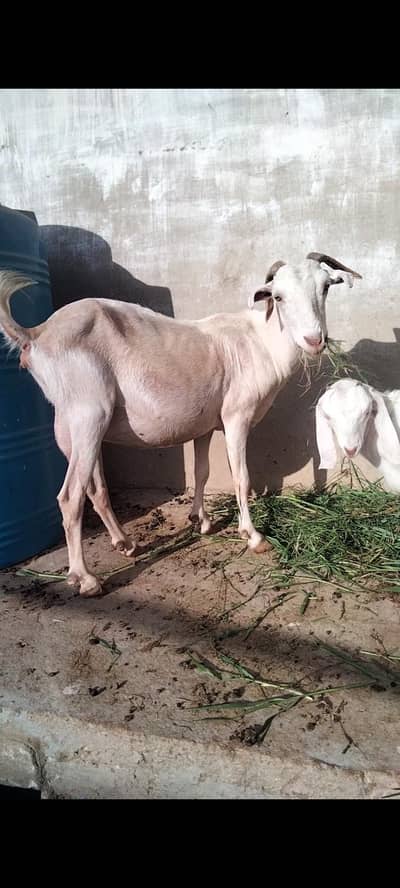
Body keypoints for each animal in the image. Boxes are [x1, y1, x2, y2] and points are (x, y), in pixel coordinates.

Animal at [0, 252, 361, 596]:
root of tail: (36, 334)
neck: (262, 343)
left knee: (95, 487)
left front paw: (200, 521)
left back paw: (125, 543)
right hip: (88, 412)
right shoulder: (237, 416)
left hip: (70, 424)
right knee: (70, 496)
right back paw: (85, 579)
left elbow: (201, 472)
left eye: (325, 288)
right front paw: (253, 536)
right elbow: (241, 477)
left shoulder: (205, 425)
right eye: (279, 297)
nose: (314, 340)